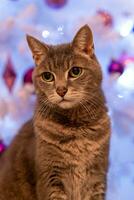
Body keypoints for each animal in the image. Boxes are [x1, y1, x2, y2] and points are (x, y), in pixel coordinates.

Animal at [0, 25, 111, 200]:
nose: (61, 90)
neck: (75, 127)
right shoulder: (50, 178)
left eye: (75, 71)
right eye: (47, 76)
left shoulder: (97, 176)